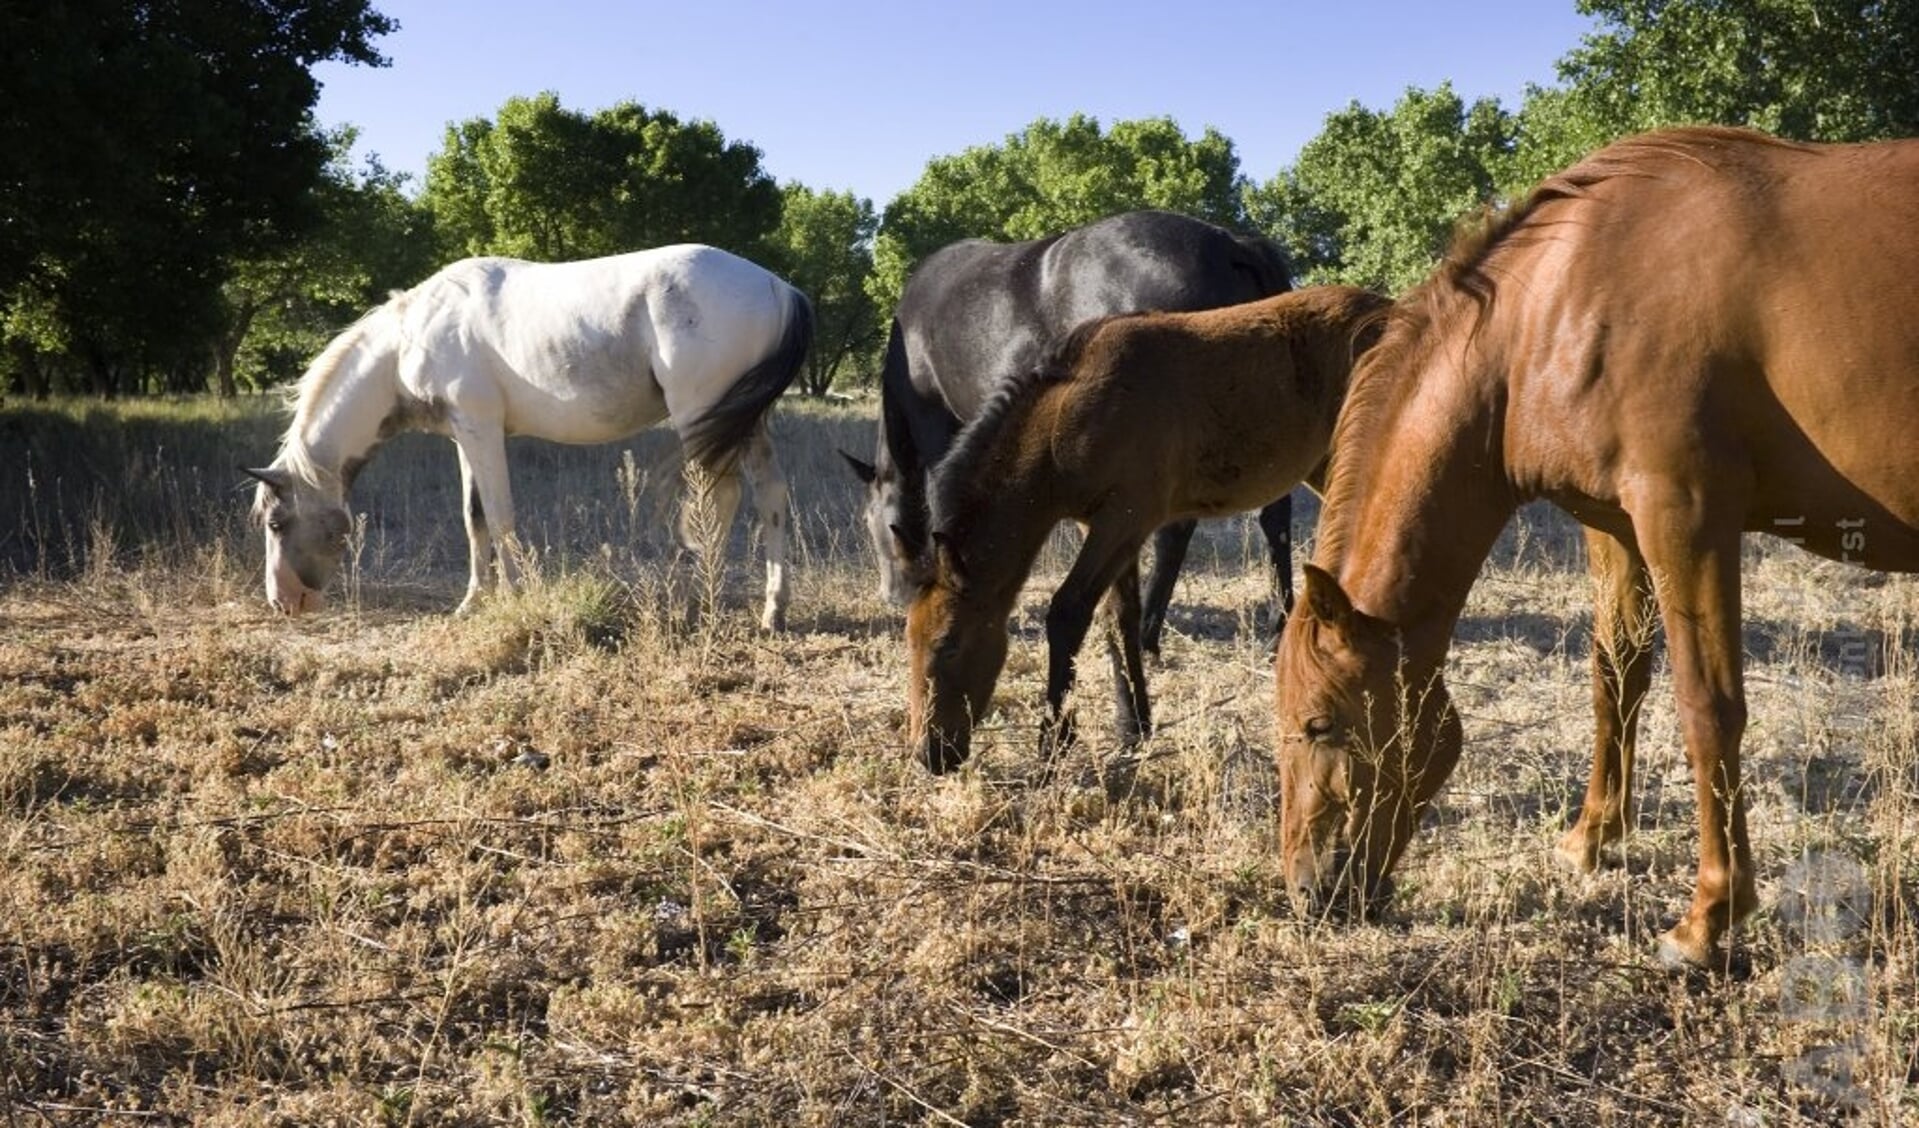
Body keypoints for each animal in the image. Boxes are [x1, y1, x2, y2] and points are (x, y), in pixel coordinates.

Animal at [245, 244, 809, 625]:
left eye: (275, 523)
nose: (282, 602)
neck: (408, 342)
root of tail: (779, 287)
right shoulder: (464, 437)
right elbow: (474, 519)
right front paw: (472, 601)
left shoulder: (482, 430)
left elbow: (500, 517)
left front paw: (515, 596)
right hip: (745, 423)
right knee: (772, 495)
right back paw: (773, 610)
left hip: (701, 419)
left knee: (720, 501)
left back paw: (703, 601)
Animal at [848, 209, 1297, 652]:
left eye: (871, 521)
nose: (892, 595)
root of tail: (1229, 245)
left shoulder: (939, 429)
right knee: (1274, 516)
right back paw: (1279, 624)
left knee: (1175, 530)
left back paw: (1146, 633)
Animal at [905, 285, 1389, 771]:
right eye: (910, 640)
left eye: (948, 645)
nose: (929, 754)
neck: (1069, 416)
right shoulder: (1103, 526)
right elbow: (1120, 617)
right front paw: (1133, 725)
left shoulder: (1125, 517)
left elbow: (1068, 612)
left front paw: (1054, 741)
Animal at [1274, 125, 1919, 970]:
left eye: (1320, 724)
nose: (1306, 893)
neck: (1561, 297)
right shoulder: (1612, 523)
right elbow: (1616, 673)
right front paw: (1592, 838)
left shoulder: (1684, 517)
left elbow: (1706, 706)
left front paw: (1707, 919)